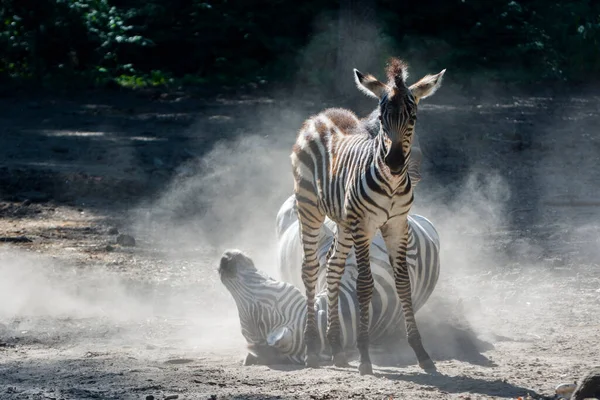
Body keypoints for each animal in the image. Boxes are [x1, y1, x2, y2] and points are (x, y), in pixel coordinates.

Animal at [290, 57, 446, 376]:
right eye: (383, 119)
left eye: (413, 117)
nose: (395, 162)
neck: (392, 182)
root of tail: (321, 116)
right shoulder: (364, 225)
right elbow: (364, 285)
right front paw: (364, 356)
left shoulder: (397, 225)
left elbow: (404, 284)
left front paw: (422, 353)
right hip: (309, 207)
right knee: (310, 269)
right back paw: (312, 348)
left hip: (342, 220)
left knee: (333, 267)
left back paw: (336, 348)